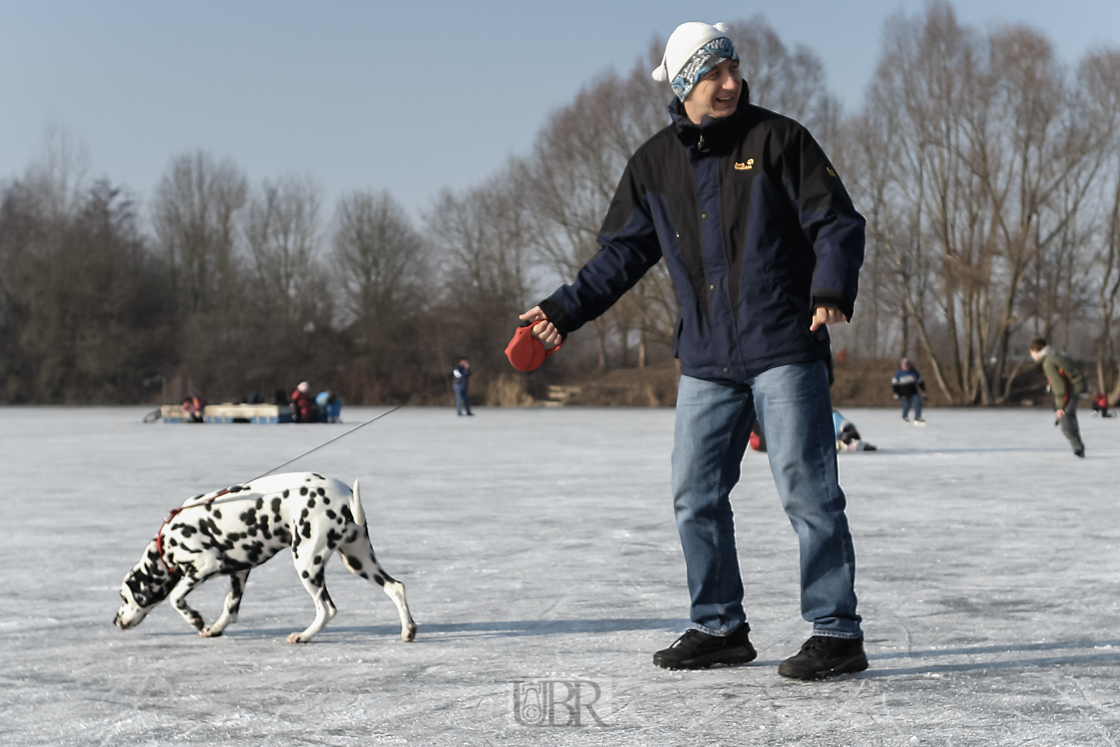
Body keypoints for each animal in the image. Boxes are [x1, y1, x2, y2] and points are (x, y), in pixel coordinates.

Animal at [112, 472, 416, 645]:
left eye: (124, 597)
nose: (115, 621)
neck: (165, 543)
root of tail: (345, 498)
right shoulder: (239, 572)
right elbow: (230, 609)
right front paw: (214, 629)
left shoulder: (204, 565)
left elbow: (176, 598)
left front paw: (196, 619)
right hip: (358, 561)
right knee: (395, 587)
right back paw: (408, 630)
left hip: (306, 563)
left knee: (326, 609)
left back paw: (303, 636)